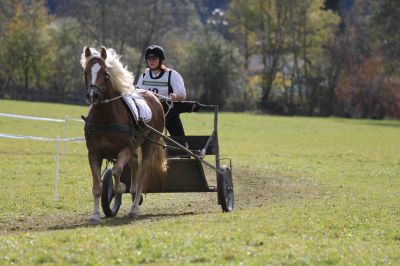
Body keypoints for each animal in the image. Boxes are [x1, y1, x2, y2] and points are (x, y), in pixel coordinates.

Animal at [80, 46, 166, 224]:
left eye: (105, 73)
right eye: (86, 72)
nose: (93, 95)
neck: (106, 118)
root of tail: (153, 96)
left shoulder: (125, 149)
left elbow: (116, 171)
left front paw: (119, 188)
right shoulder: (93, 153)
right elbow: (97, 186)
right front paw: (95, 215)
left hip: (149, 143)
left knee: (142, 172)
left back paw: (134, 208)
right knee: (134, 165)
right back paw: (133, 194)